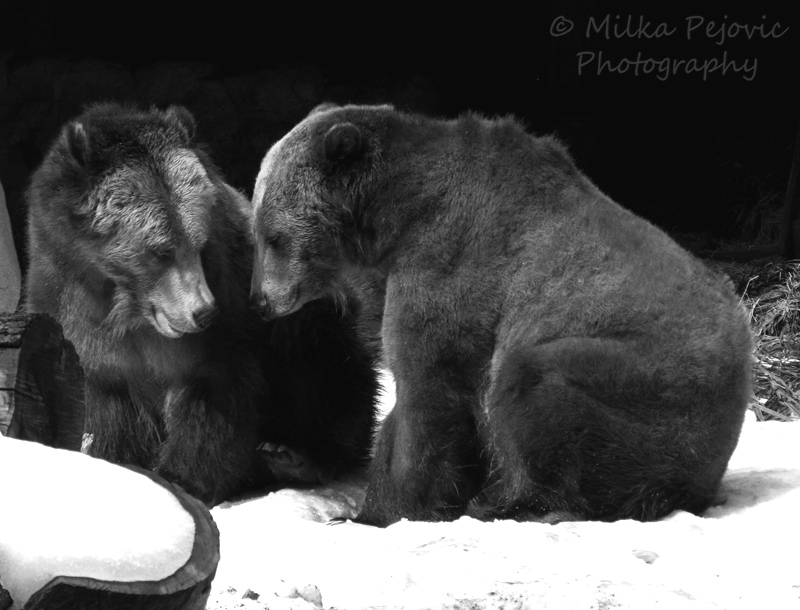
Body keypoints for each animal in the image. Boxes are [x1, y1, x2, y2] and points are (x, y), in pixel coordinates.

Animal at [24, 102, 380, 505]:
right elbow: (106, 399)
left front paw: (181, 477)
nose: (203, 311)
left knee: (318, 354)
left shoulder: (225, 312)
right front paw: (115, 462)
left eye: (198, 240)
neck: (127, 307)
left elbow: (212, 390)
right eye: (160, 251)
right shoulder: (74, 310)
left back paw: (295, 456)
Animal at [248, 102, 754, 527]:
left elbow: (427, 395)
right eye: (259, 231)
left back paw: (514, 503)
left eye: (273, 236)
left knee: (536, 384)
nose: (260, 301)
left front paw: (381, 512)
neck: (388, 222)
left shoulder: (448, 264)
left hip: (650, 388)